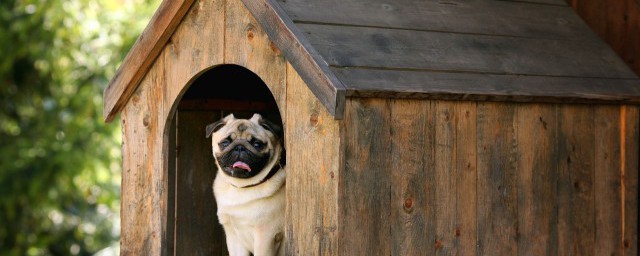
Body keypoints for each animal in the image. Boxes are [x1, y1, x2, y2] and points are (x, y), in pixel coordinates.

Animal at [206, 113, 286, 256]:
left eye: (257, 144)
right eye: (225, 143)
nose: (240, 147)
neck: (241, 187)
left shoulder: (265, 237)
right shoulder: (233, 237)